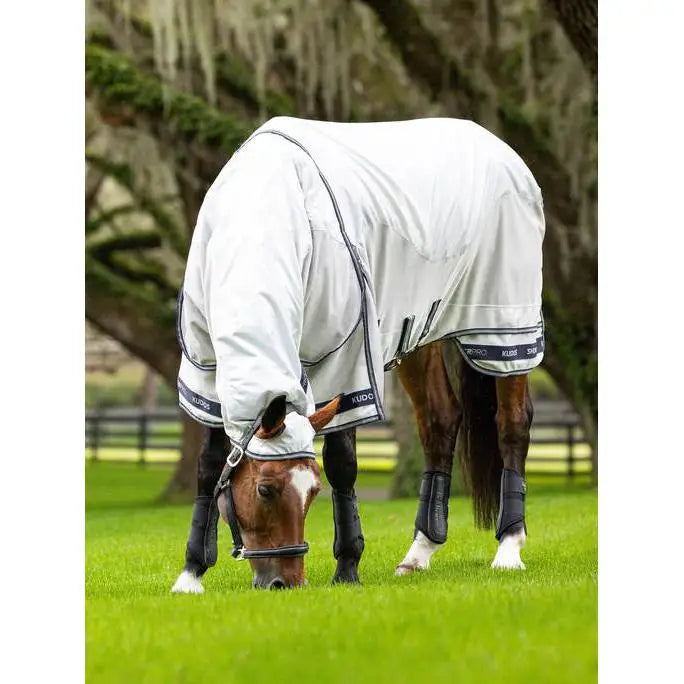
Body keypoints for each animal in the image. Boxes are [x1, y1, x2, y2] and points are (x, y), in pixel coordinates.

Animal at [170, 116, 544, 592]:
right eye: (266, 489)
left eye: (312, 491)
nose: (284, 583)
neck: (265, 213)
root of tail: (499, 147)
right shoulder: (205, 369)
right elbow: (210, 465)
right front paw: (190, 574)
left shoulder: (345, 364)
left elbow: (342, 464)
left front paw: (347, 567)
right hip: (418, 333)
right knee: (440, 422)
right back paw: (418, 554)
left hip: (504, 328)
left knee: (512, 423)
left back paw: (508, 550)